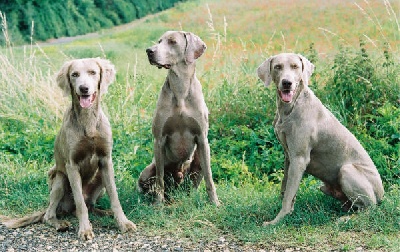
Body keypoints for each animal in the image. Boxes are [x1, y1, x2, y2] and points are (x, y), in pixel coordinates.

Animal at [137, 30, 219, 206]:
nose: (149, 51)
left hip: (198, 160)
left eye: (172, 42)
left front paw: (215, 202)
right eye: (159, 41)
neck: (180, 88)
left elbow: (209, 177)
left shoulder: (202, 138)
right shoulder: (159, 140)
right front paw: (158, 205)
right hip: (148, 170)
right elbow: (160, 179)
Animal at [256, 52, 384, 224]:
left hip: (347, 170)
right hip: (326, 187)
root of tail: (382, 195)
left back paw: (344, 219)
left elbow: (288, 194)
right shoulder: (289, 156)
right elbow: (285, 187)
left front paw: (277, 220)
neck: (291, 107)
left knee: (369, 208)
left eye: (295, 66)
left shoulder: (299, 158)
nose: (287, 83)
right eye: (277, 67)